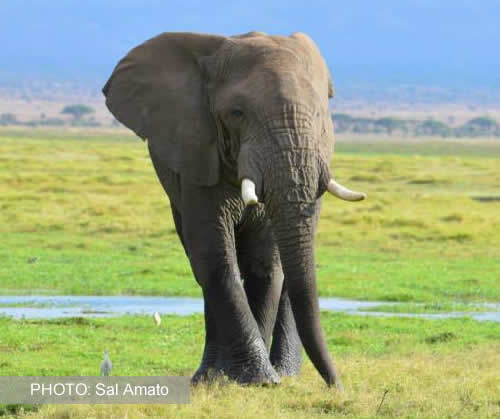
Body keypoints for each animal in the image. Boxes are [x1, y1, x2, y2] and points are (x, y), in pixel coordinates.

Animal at [103, 31, 366, 388]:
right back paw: (210, 376)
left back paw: (282, 371)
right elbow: (214, 257)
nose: (336, 386)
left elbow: (265, 265)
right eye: (236, 113)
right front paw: (258, 380)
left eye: (319, 115)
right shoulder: (198, 156)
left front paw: (265, 379)